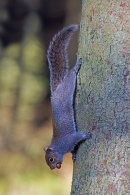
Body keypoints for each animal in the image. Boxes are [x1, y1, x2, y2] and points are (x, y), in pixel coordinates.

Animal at [44, 24, 91, 170]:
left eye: (51, 159)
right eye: (48, 162)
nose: (53, 168)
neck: (59, 147)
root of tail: (55, 92)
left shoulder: (70, 139)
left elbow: (77, 137)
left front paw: (86, 135)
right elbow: (74, 149)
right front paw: (74, 155)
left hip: (68, 86)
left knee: (71, 75)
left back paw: (76, 67)